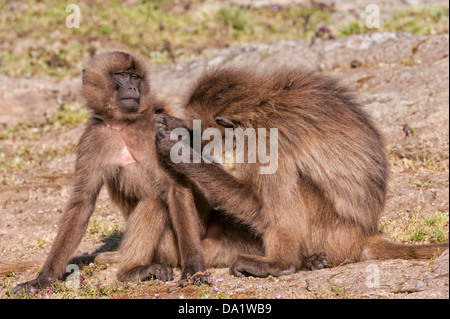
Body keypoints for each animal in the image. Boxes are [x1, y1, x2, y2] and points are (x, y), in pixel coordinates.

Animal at [6, 52, 260, 296]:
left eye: (135, 77)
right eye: (121, 75)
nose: (132, 89)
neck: (122, 124)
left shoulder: (155, 132)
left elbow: (176, 188)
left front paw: (193, 271)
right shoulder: (93, 138)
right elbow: (82, 203)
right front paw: (42, 280)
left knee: (155, 201)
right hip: (168, 249)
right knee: (153, 202)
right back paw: (131, 271)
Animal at [156, 67, 450, 278]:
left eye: (200, 131)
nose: (195, 140)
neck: (261, 105)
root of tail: (365, 234)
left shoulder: (268, 142)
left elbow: (260, 206)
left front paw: (179, 151)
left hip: (333, 231)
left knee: (289, 193)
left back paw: (281, 264)